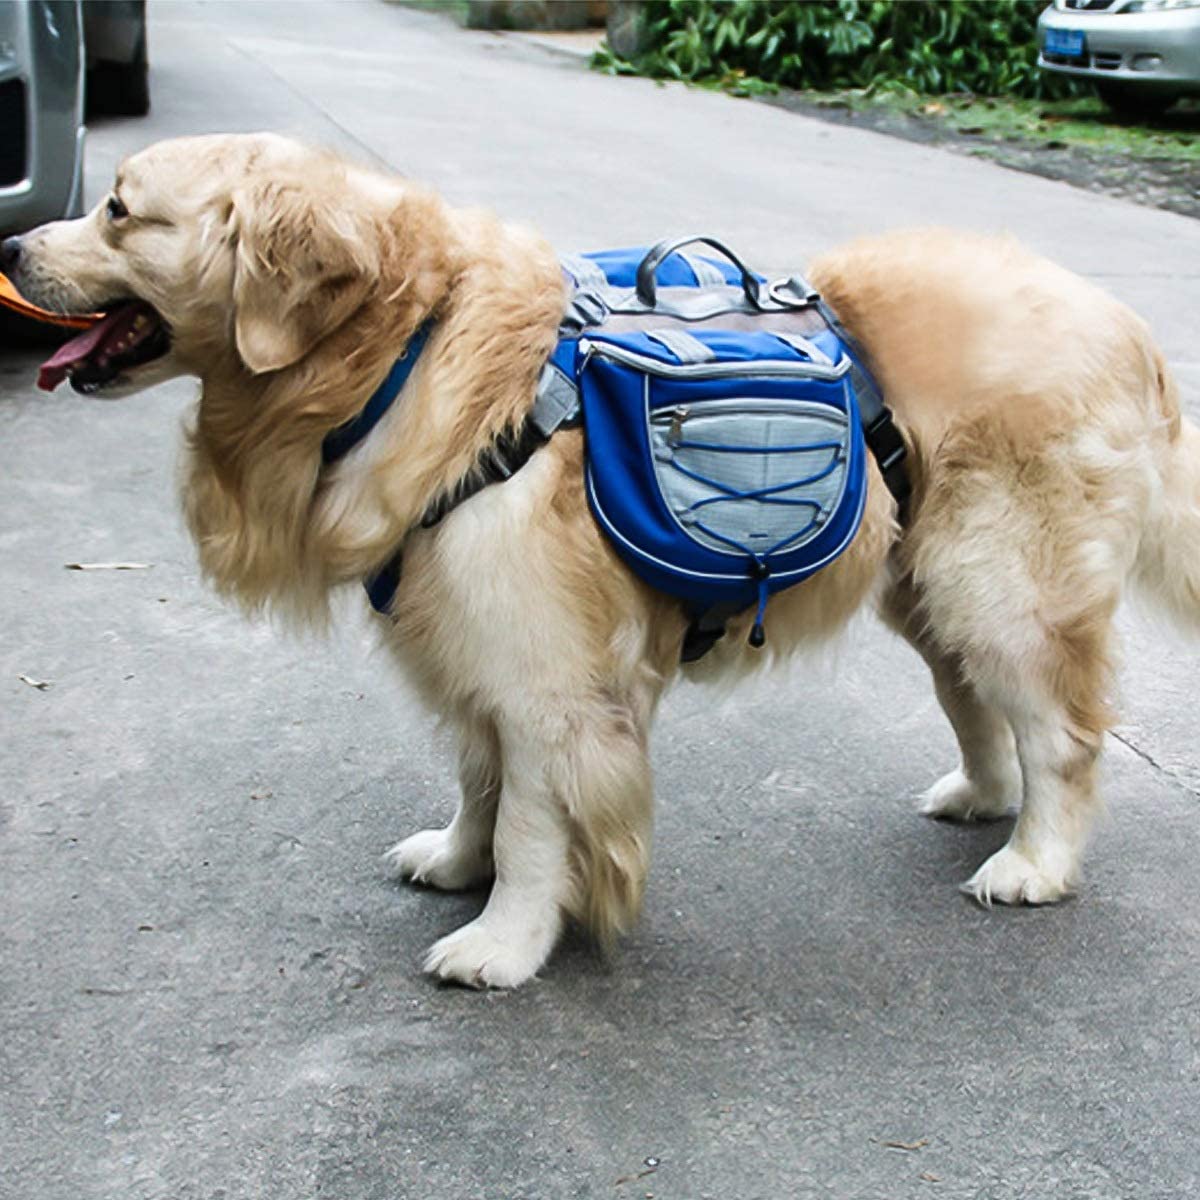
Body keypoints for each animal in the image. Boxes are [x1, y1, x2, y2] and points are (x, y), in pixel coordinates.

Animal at [7, 136, 1190, 988]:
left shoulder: (550, 677)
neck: (403, 352)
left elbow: (535, 824)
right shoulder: (475, 639)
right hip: (931, 582)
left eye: (119, 209)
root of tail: (1130, 325)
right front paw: (459, 861)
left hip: (1004, 582)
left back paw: (1034, 862)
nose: (12, 250)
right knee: (977, 704)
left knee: (1063, 733)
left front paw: (503, 943)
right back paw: (982, 800)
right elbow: (478, 778)